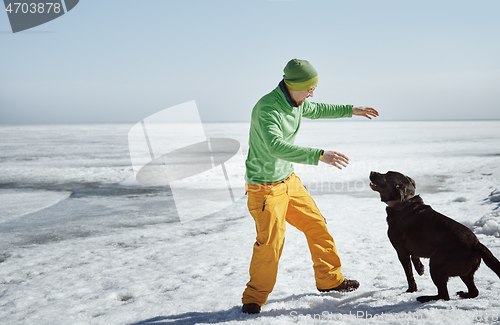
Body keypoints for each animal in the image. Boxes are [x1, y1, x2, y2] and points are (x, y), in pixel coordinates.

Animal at [368, 171, 500, 302]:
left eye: (386, 176)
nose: (372, 172)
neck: (404, 201)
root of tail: (477, 245)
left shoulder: (401, 251)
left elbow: (409, 273)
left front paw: (411, 289)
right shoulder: (415, 244)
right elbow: (415, 256)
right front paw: (420, 269)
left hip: (436, 264)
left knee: (444, 295)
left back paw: (424, 298)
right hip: (464, 273)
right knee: (474, 291)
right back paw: (463, 294)